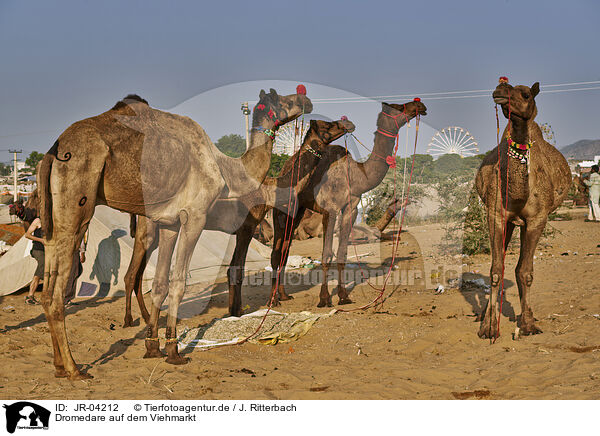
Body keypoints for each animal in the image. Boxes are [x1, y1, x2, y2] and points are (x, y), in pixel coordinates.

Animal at [36, 87, 314, 378]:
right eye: (284, 99)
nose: (306, 99)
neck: (223, 167)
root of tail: (52, 153)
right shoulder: (195, 216)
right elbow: (179, 282)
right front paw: (173, 350)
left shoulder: (168, 222)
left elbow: (160, 284)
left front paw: (152, 347)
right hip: (77, 205)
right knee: (57, 293)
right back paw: (74, 368)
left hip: (53, 217)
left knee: (48, 283)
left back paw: (58, 365)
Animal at [123, 116, 354, 324]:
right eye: (327, 125)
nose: (347, 123)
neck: (268, 189)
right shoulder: (247, 227)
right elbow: (237, 270)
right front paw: (237, 311)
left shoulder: (242, 230)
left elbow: (234, 268)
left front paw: (235, 310)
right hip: (149, 228)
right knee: (132, 273)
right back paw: (130, 320)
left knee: (137, 273)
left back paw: (145, 317)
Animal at [270, 101, 424, 308]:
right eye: (397, 106)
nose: (419, 105)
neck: (356, 176)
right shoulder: (330, 210)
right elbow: (327, 254)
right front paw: (324, 299)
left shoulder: (351, 208)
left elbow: (342, 253)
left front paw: (343, 296)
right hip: (282, 209)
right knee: (276, 251)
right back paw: (274, 300)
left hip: (299, 209)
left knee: (285, 250)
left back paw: (284, 295)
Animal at [476, 78, 568, 338]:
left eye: (526, 94)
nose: (500, 91)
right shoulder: (495, 214)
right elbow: (496, 270)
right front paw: (489, 328)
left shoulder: (538, 219)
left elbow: (525, 271)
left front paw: (527, 324)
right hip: (509, 223)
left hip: (524, 223)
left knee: (518, 268)